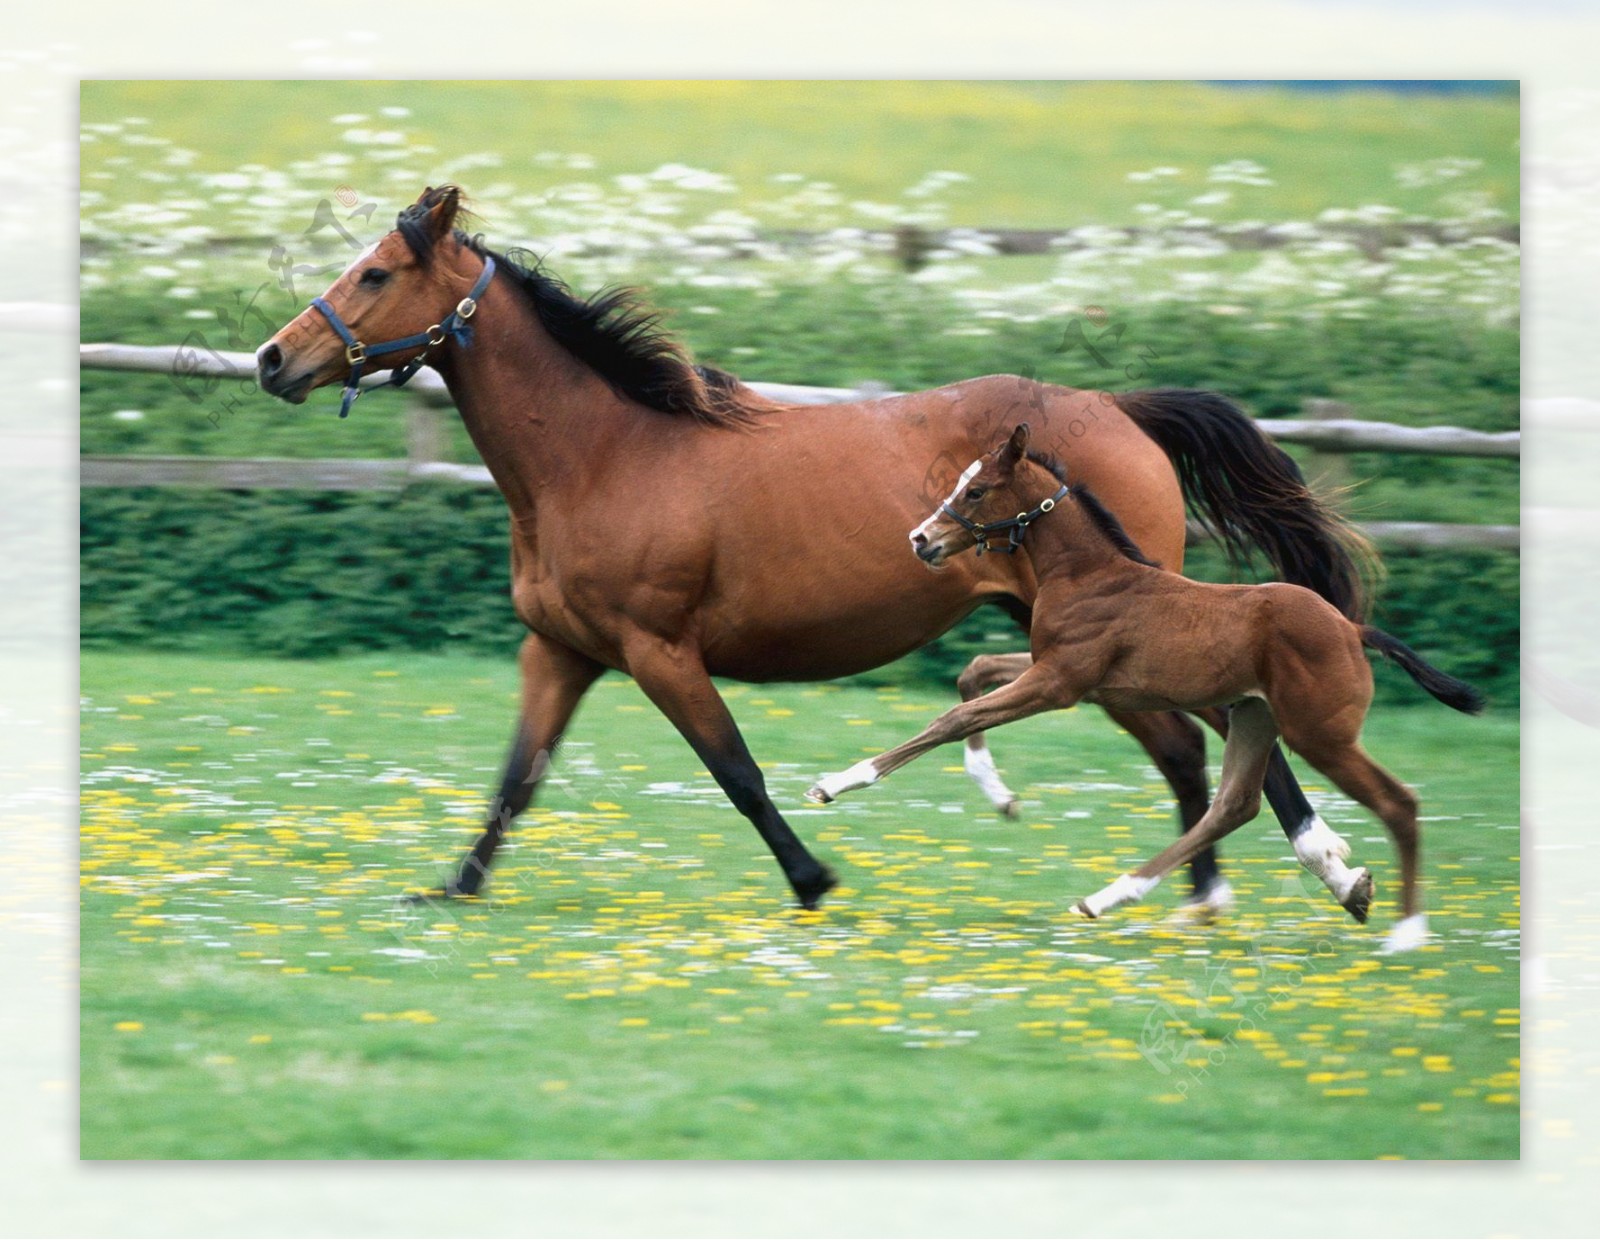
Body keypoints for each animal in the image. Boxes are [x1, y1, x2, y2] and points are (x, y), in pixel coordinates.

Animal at [259, 188, 1376, 915]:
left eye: (375, 272)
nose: (274, 359)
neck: (602, 455)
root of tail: (1119, 407)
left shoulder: (659, 650)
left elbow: (737, 771)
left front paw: (814, 879)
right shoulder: (562, 651)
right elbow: (517, 778)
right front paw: (451, 887)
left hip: (1120, 629)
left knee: (1221, 742)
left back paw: (1315, 872)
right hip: (1078, 637)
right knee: (1191, 748)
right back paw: (1207, 894)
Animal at [812, 422, 1484, 953]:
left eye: (975, 490)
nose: (921, 540)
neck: (1089, 572)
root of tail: (1351, 627)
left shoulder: (1059, 682)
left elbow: (954, 718)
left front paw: (835, 783)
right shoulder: (1065, 674)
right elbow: (973, 676)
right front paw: (996, 791)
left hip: (1320, 734)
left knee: (1398, 803)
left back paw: (1407, 933)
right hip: (1255, 717)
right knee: (1233, 805)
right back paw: (1108, 897)